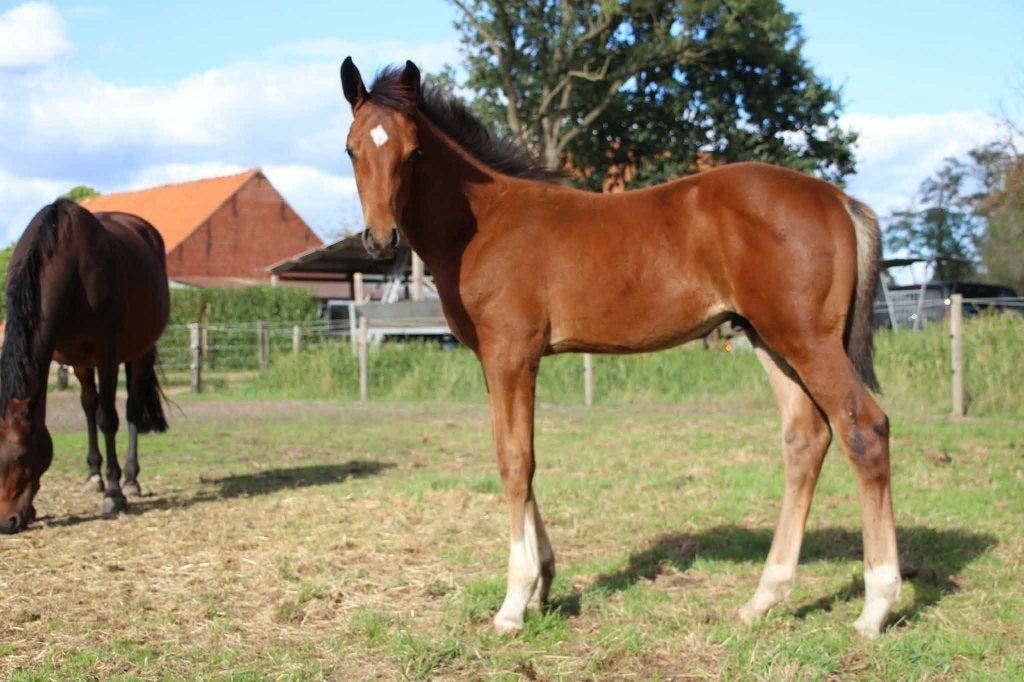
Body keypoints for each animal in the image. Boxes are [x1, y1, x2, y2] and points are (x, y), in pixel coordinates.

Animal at [0, 200, 170, 532]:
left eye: (22, 457)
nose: (6, 522)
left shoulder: (107, 355)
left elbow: (108, 419)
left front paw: (115, 495)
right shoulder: (70, 358)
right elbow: (89, 411)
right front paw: (95, 478)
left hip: (142, 351)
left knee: (131, 409)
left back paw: (131, 480)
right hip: (83, 363)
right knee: (89, 405)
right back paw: (94, 476)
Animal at [339, 58, 900, 638]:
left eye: (413, 152)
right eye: (351, 149)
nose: (380, 240)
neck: (482, 223)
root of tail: (839, 199)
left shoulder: (510, 355)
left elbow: (515, 462)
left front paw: (515, 602)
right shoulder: (495, 362)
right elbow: (521, 457)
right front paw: (543, 584)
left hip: (808, 339)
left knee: (865, 429)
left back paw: (875, 608)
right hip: (769, 339)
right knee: (806, 439)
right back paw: (762, 599)